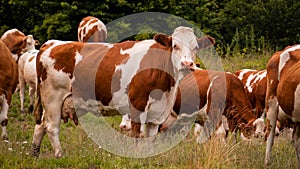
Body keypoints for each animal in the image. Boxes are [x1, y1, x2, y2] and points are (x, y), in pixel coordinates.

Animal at [31, 26, 216, 157]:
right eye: (174, 46)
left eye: (195, 47)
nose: (187, 64)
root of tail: (51, 43)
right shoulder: (137, 106)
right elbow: (136, 136)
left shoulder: (158, 112)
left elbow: (150, 140)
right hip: (52, 97)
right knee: (51, 127)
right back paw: (59, 155)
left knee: (40, 125)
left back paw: (34, 154)